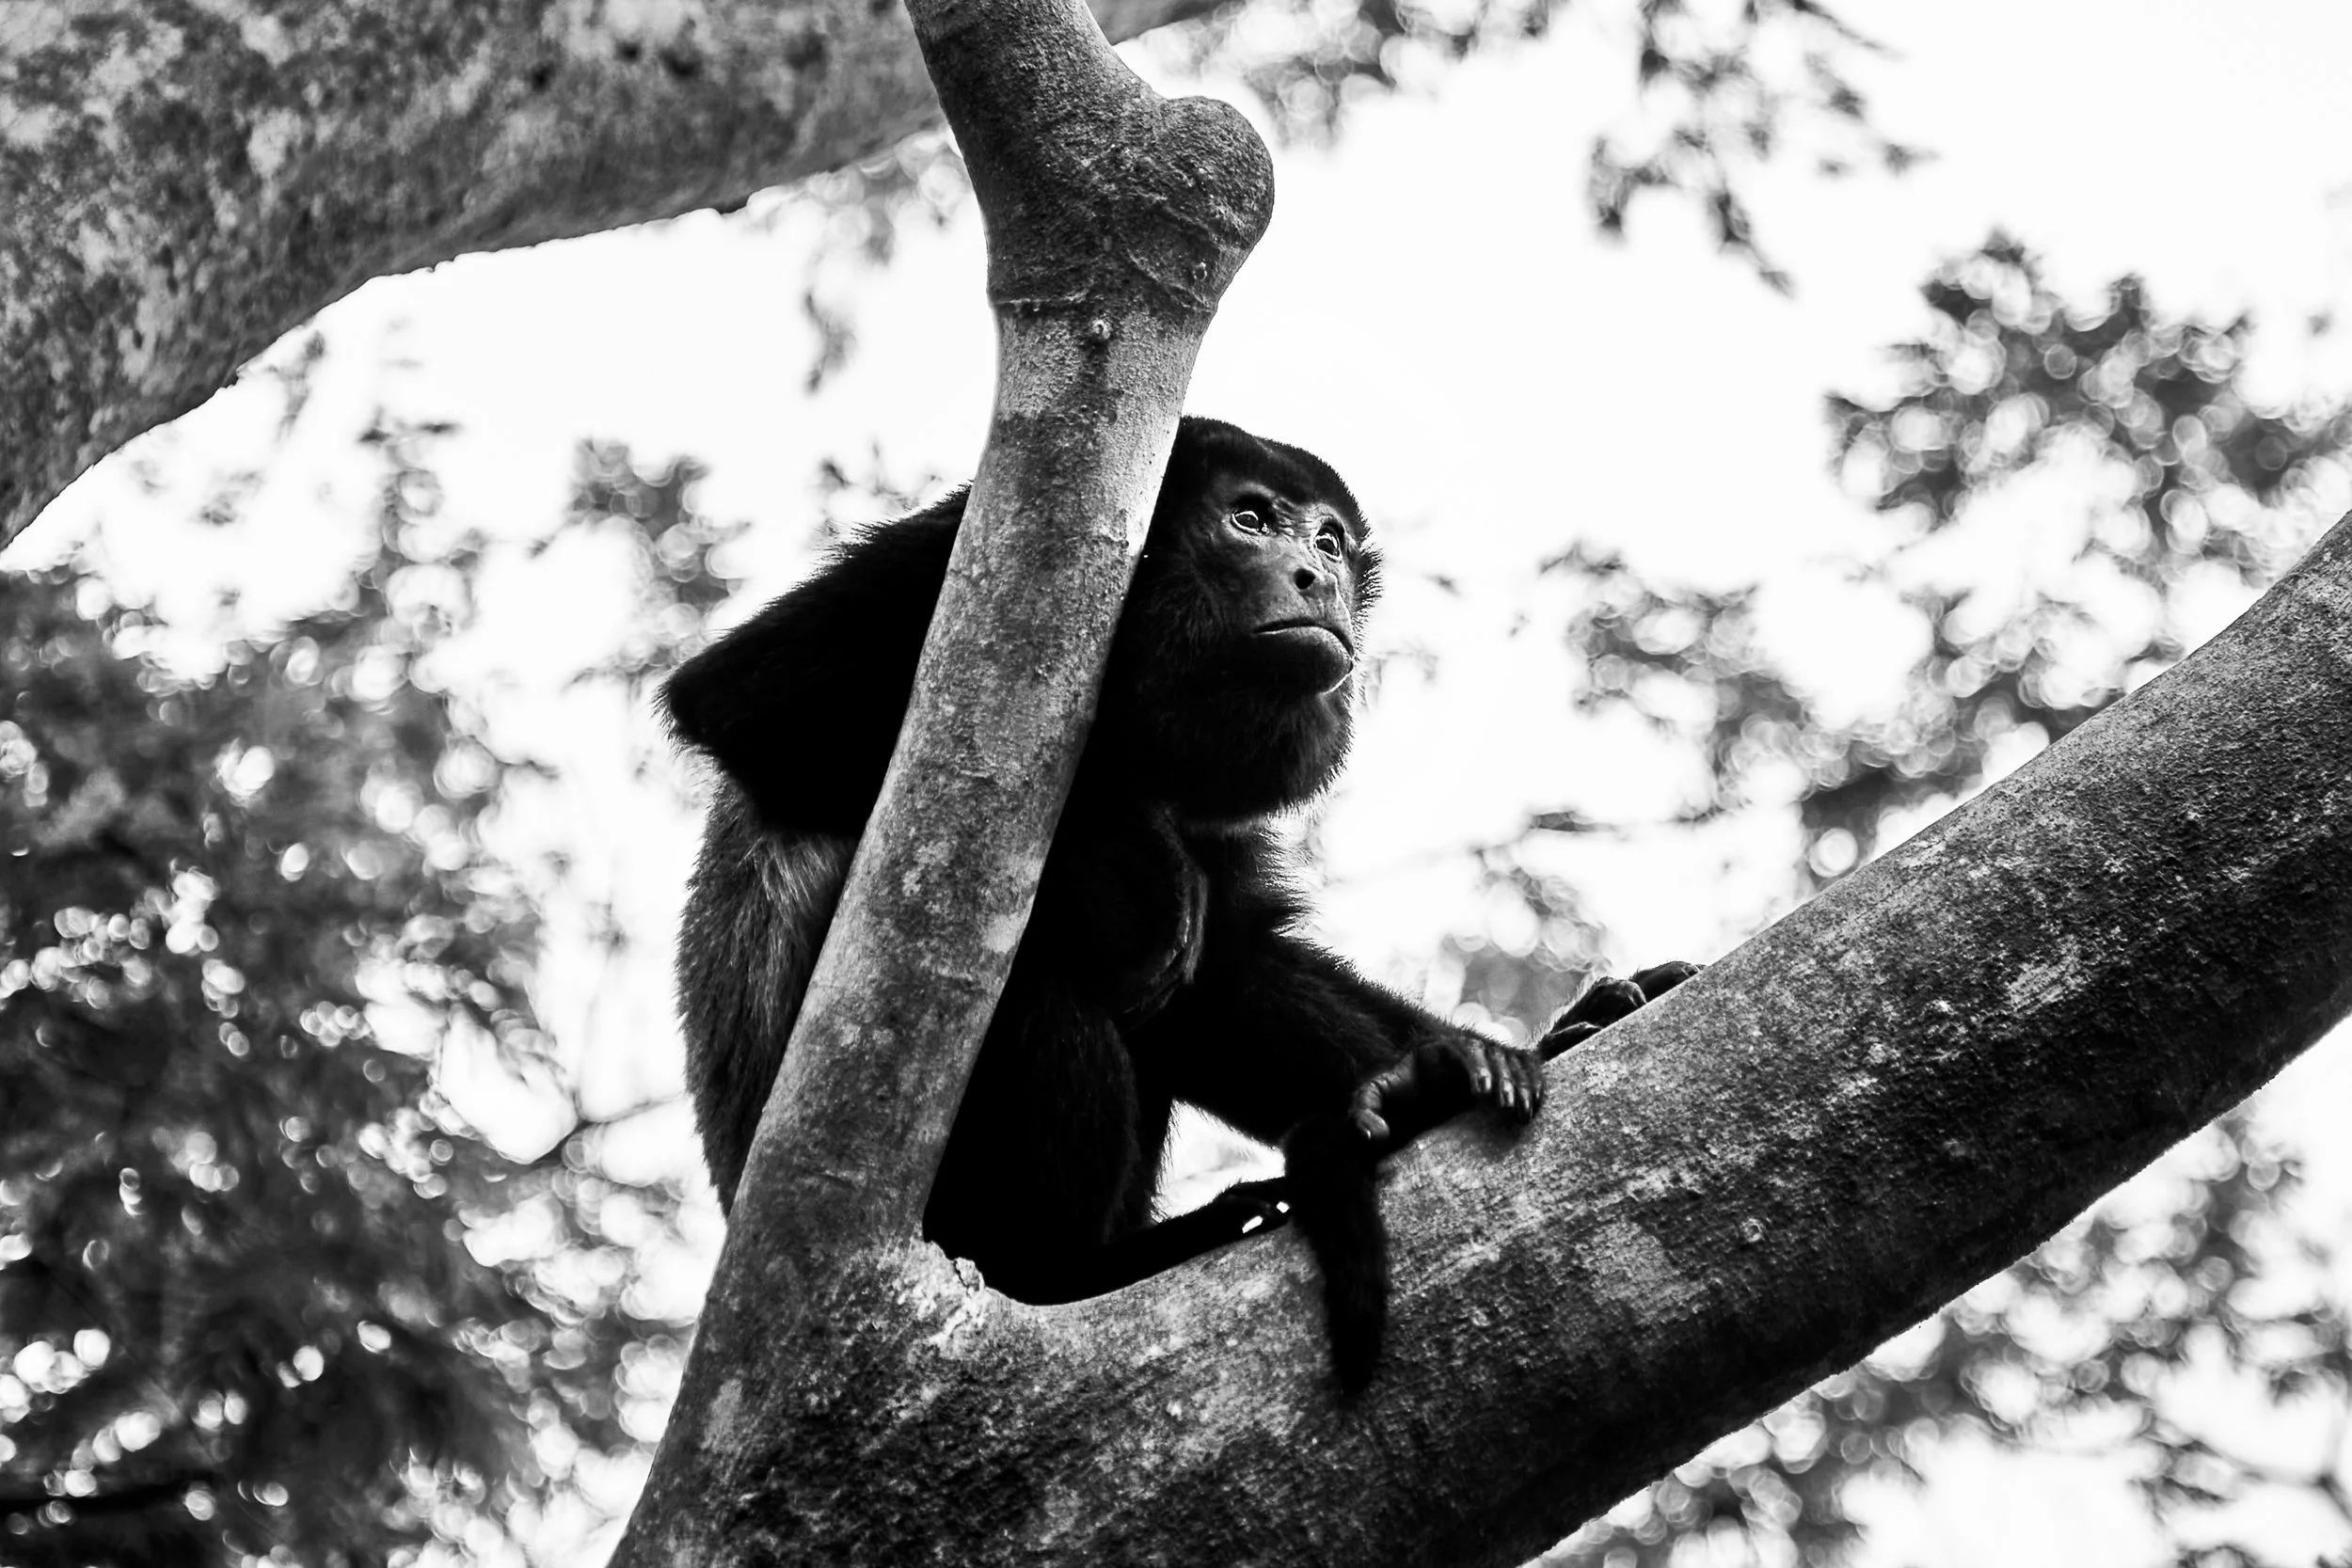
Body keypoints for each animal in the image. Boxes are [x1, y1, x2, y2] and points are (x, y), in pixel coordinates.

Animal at [662, 416, 1694, 1390]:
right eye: (1251, 519)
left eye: (1330, 536)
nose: (1317, 575)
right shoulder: (953, 558)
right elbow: (746, 704)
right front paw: (1125, 837)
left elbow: (1231, 968)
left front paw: (1501, 1052)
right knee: (1049, 997)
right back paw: (1077, 1270)